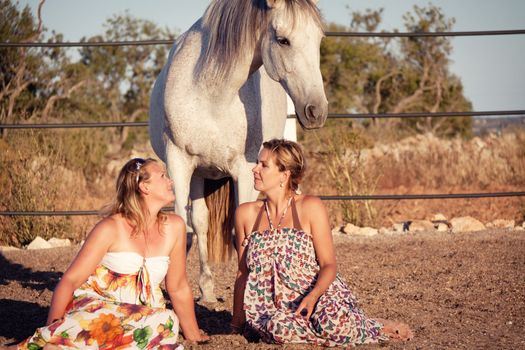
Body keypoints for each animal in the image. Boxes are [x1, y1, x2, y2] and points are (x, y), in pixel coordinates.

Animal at [149, 0, 326, 302]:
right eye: (283, 40)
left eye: (318, 39)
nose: (316, 111)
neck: (212, 94)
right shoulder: (179, 162)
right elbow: (184, 229)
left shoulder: (244, 170)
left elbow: (239, 233)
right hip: (198, 173)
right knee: (200, 222)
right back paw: (206, 290)